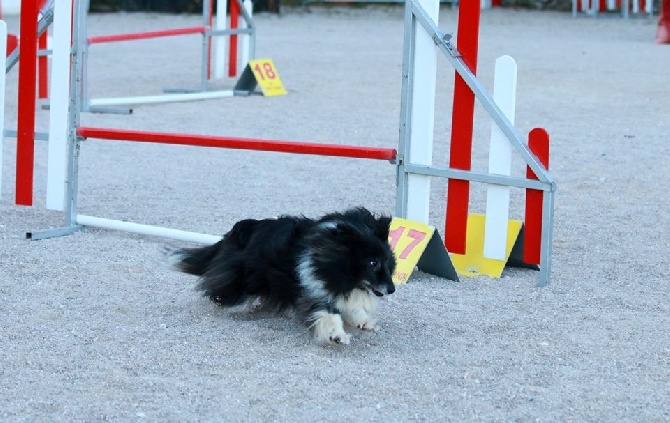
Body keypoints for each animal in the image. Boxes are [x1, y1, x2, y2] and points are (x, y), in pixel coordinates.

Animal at [169, 208, 400, 344]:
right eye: (373, 263)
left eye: (388, 261)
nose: (392, 289)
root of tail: (235, 232)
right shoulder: (312, 290)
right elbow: (327, 313)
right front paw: (337, 336)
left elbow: (353, 307)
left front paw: (365, 322)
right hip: (243, 279)